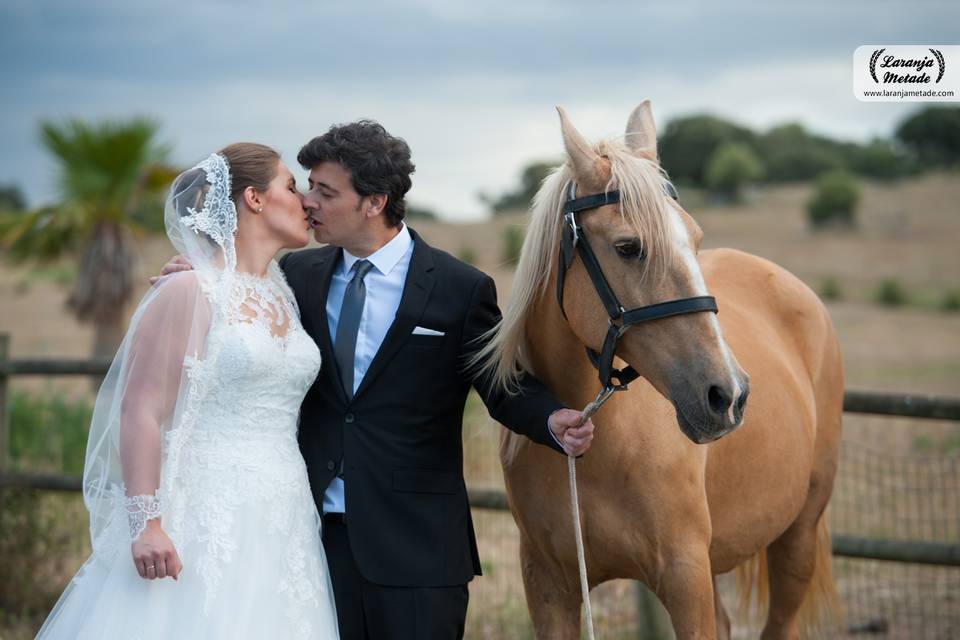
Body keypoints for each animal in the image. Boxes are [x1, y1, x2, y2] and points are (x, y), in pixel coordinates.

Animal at [476, 102, 844, 636]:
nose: (728, 394)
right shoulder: (547, 583)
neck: (601, 446)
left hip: (798, 535)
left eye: (696, 239)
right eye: (628, 247)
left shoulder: (685, 577)